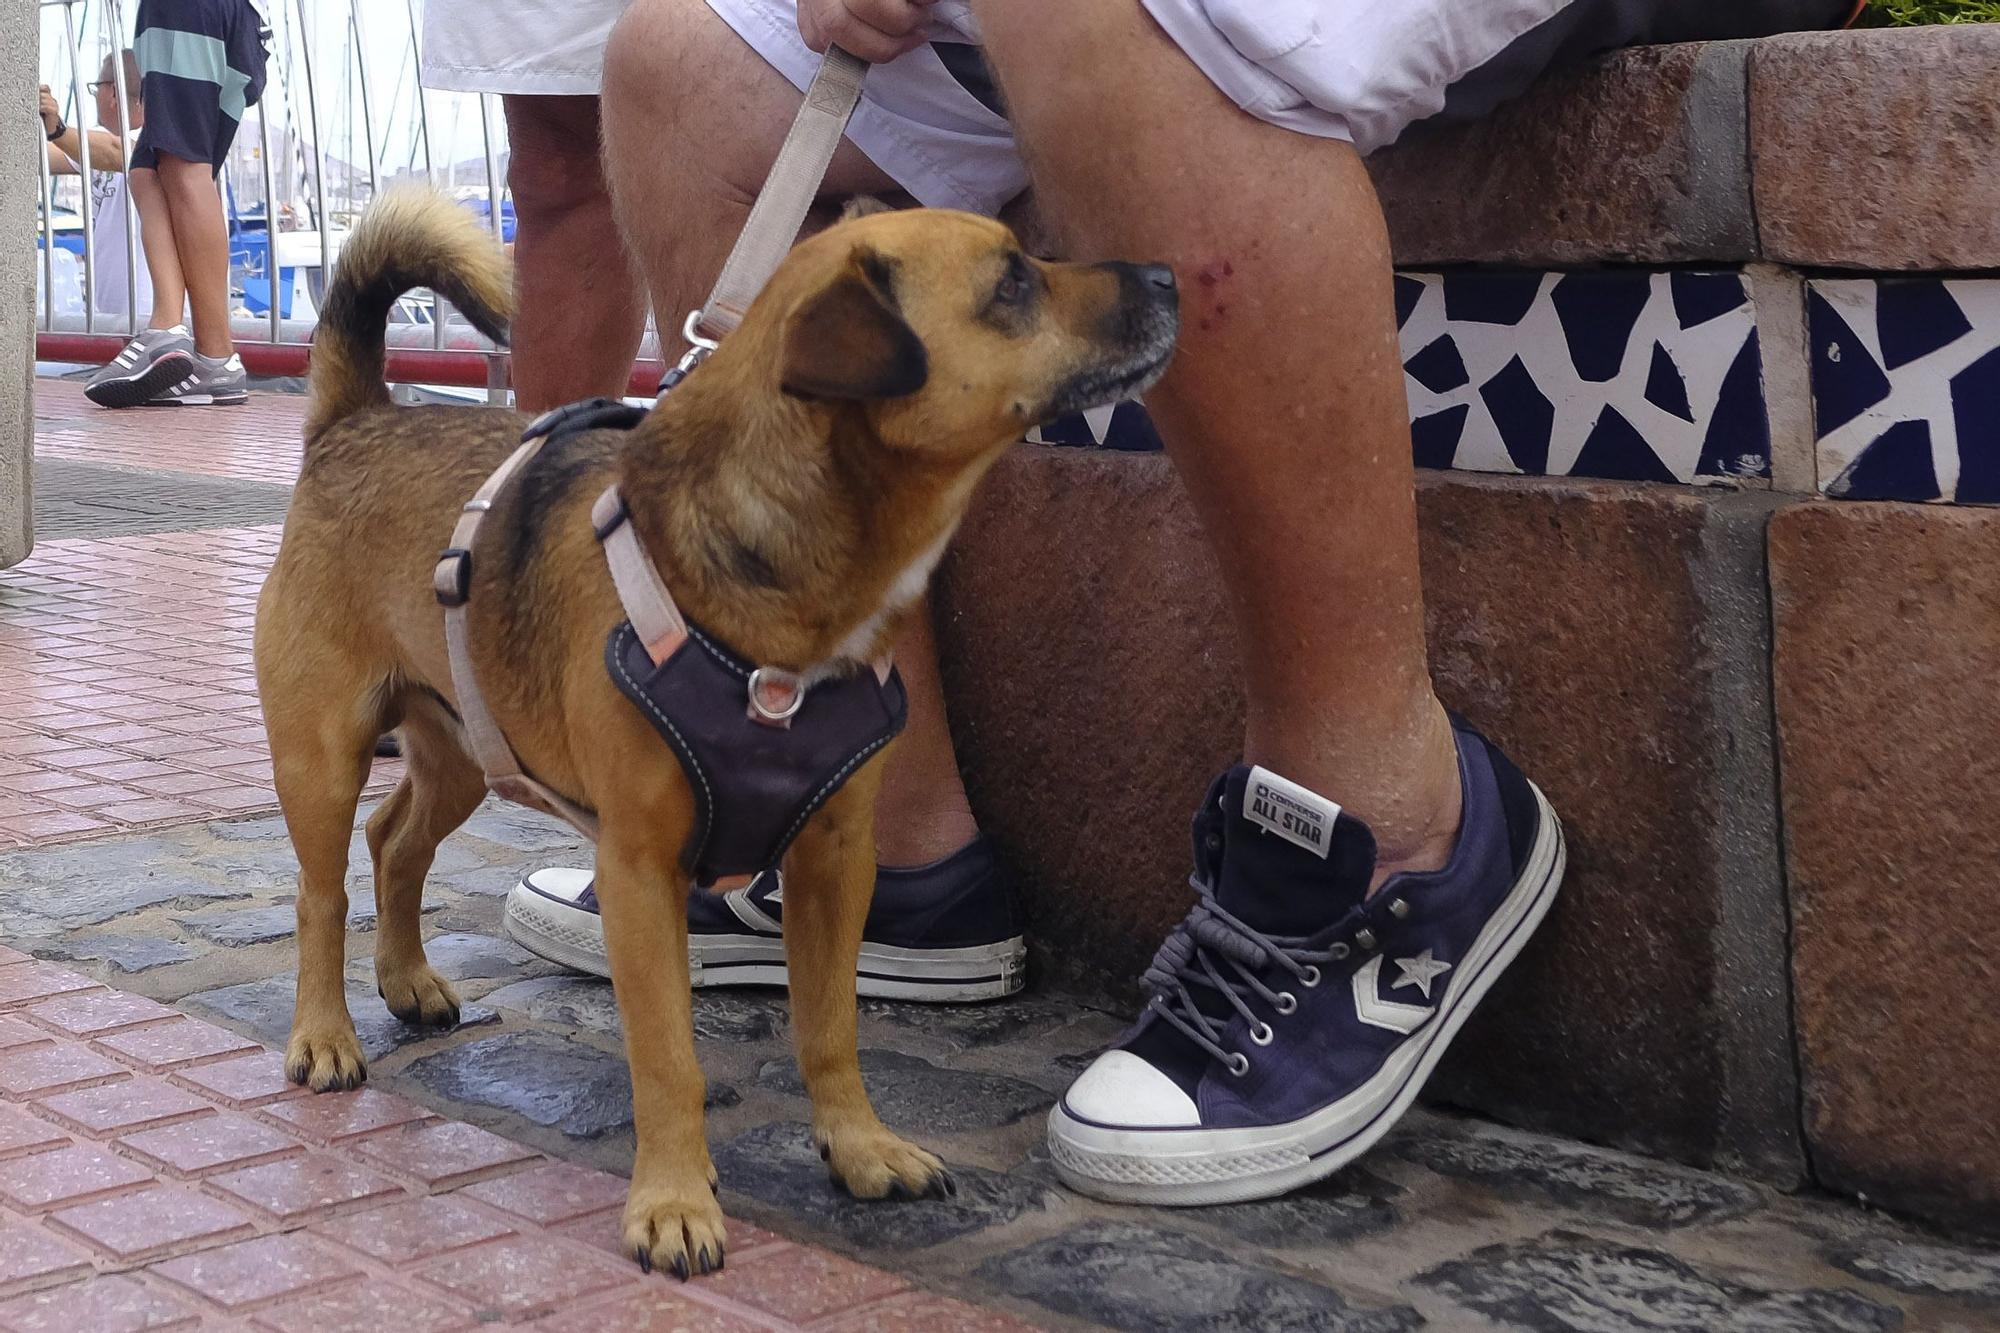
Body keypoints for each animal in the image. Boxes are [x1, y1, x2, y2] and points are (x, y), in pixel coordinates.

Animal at [256, 192, 1176, 1272]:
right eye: (1014, 282)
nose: (1166, 275)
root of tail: (357, 418)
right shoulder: (638, 874)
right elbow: (667, 1056)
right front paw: (672, 1199)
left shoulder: (836, 864)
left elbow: (829, 1031)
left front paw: (856, 1145)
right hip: (322, 757)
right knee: (322, 892)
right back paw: (325, 1032)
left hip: (464, 754)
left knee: (394, 841)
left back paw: (404, 979)